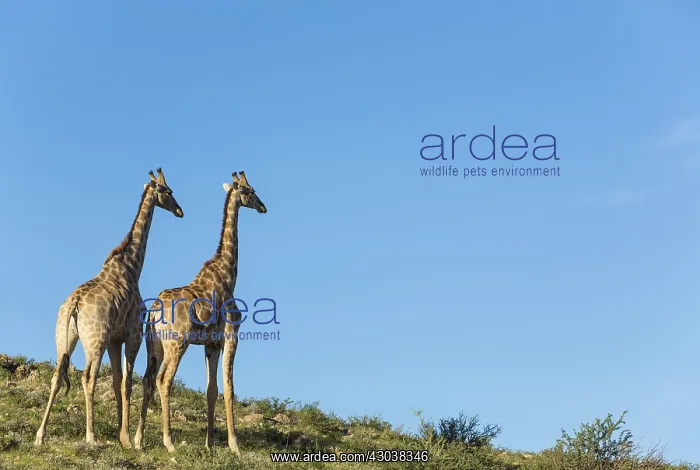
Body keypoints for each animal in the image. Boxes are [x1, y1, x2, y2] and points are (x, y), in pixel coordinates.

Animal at [35, 168, 184, 448]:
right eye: (168, 191)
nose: (180, 210)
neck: (132, 267)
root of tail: (74, 304)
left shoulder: (115, 340)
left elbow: (116, 381)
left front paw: (121, 434)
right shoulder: (132, 335)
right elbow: (126, 383)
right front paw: (126, 437)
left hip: (64, 338)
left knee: (56, 376)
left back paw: (40, 435)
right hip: (96, 341)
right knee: (88, 377)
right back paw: (90, 436)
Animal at [134, 171, 267, 455]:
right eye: (249, 191)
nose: (263, 207)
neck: (228, 275)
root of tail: (154, 311)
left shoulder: (211, 344)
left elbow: (211, 390)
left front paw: (210, 445)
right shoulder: (231, 336)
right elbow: (229, 387)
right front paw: (234, 446)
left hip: (153, 344)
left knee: (148, 379)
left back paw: (138, 440)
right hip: (177, 343)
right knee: (164, 379)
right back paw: (169, 442)